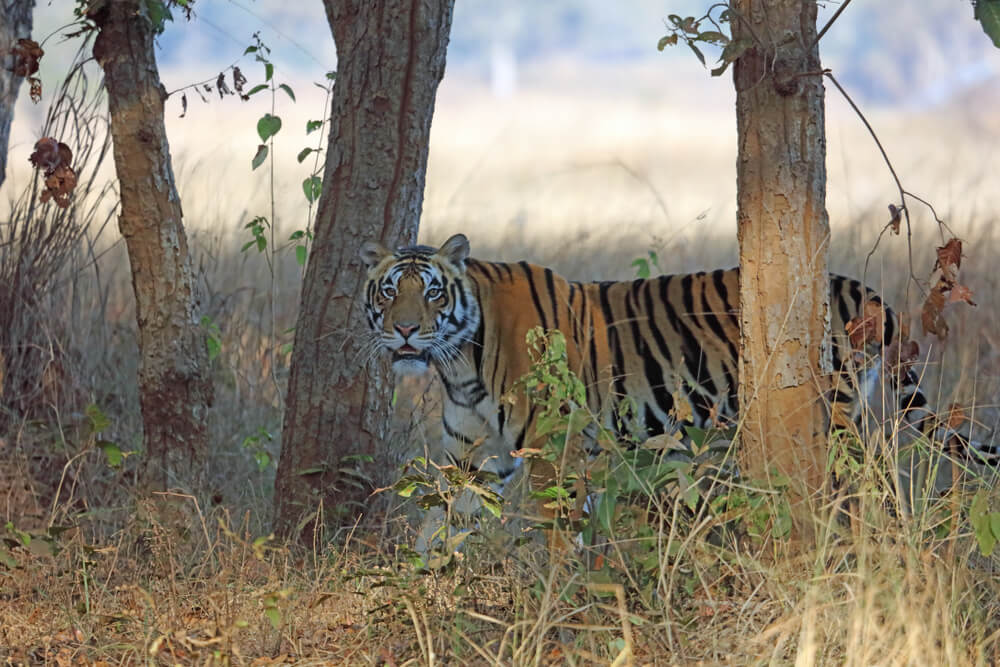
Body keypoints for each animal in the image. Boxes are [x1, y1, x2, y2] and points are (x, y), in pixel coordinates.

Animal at [360, 234, 997, 519]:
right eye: (390, 292)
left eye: (432, 293)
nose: (407, 331)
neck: (458, 364)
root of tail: (862, 289)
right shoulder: (467, 459)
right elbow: (435, 529)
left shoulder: (553, 455)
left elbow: (556, 536)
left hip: (832, 417)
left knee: (866, 484)